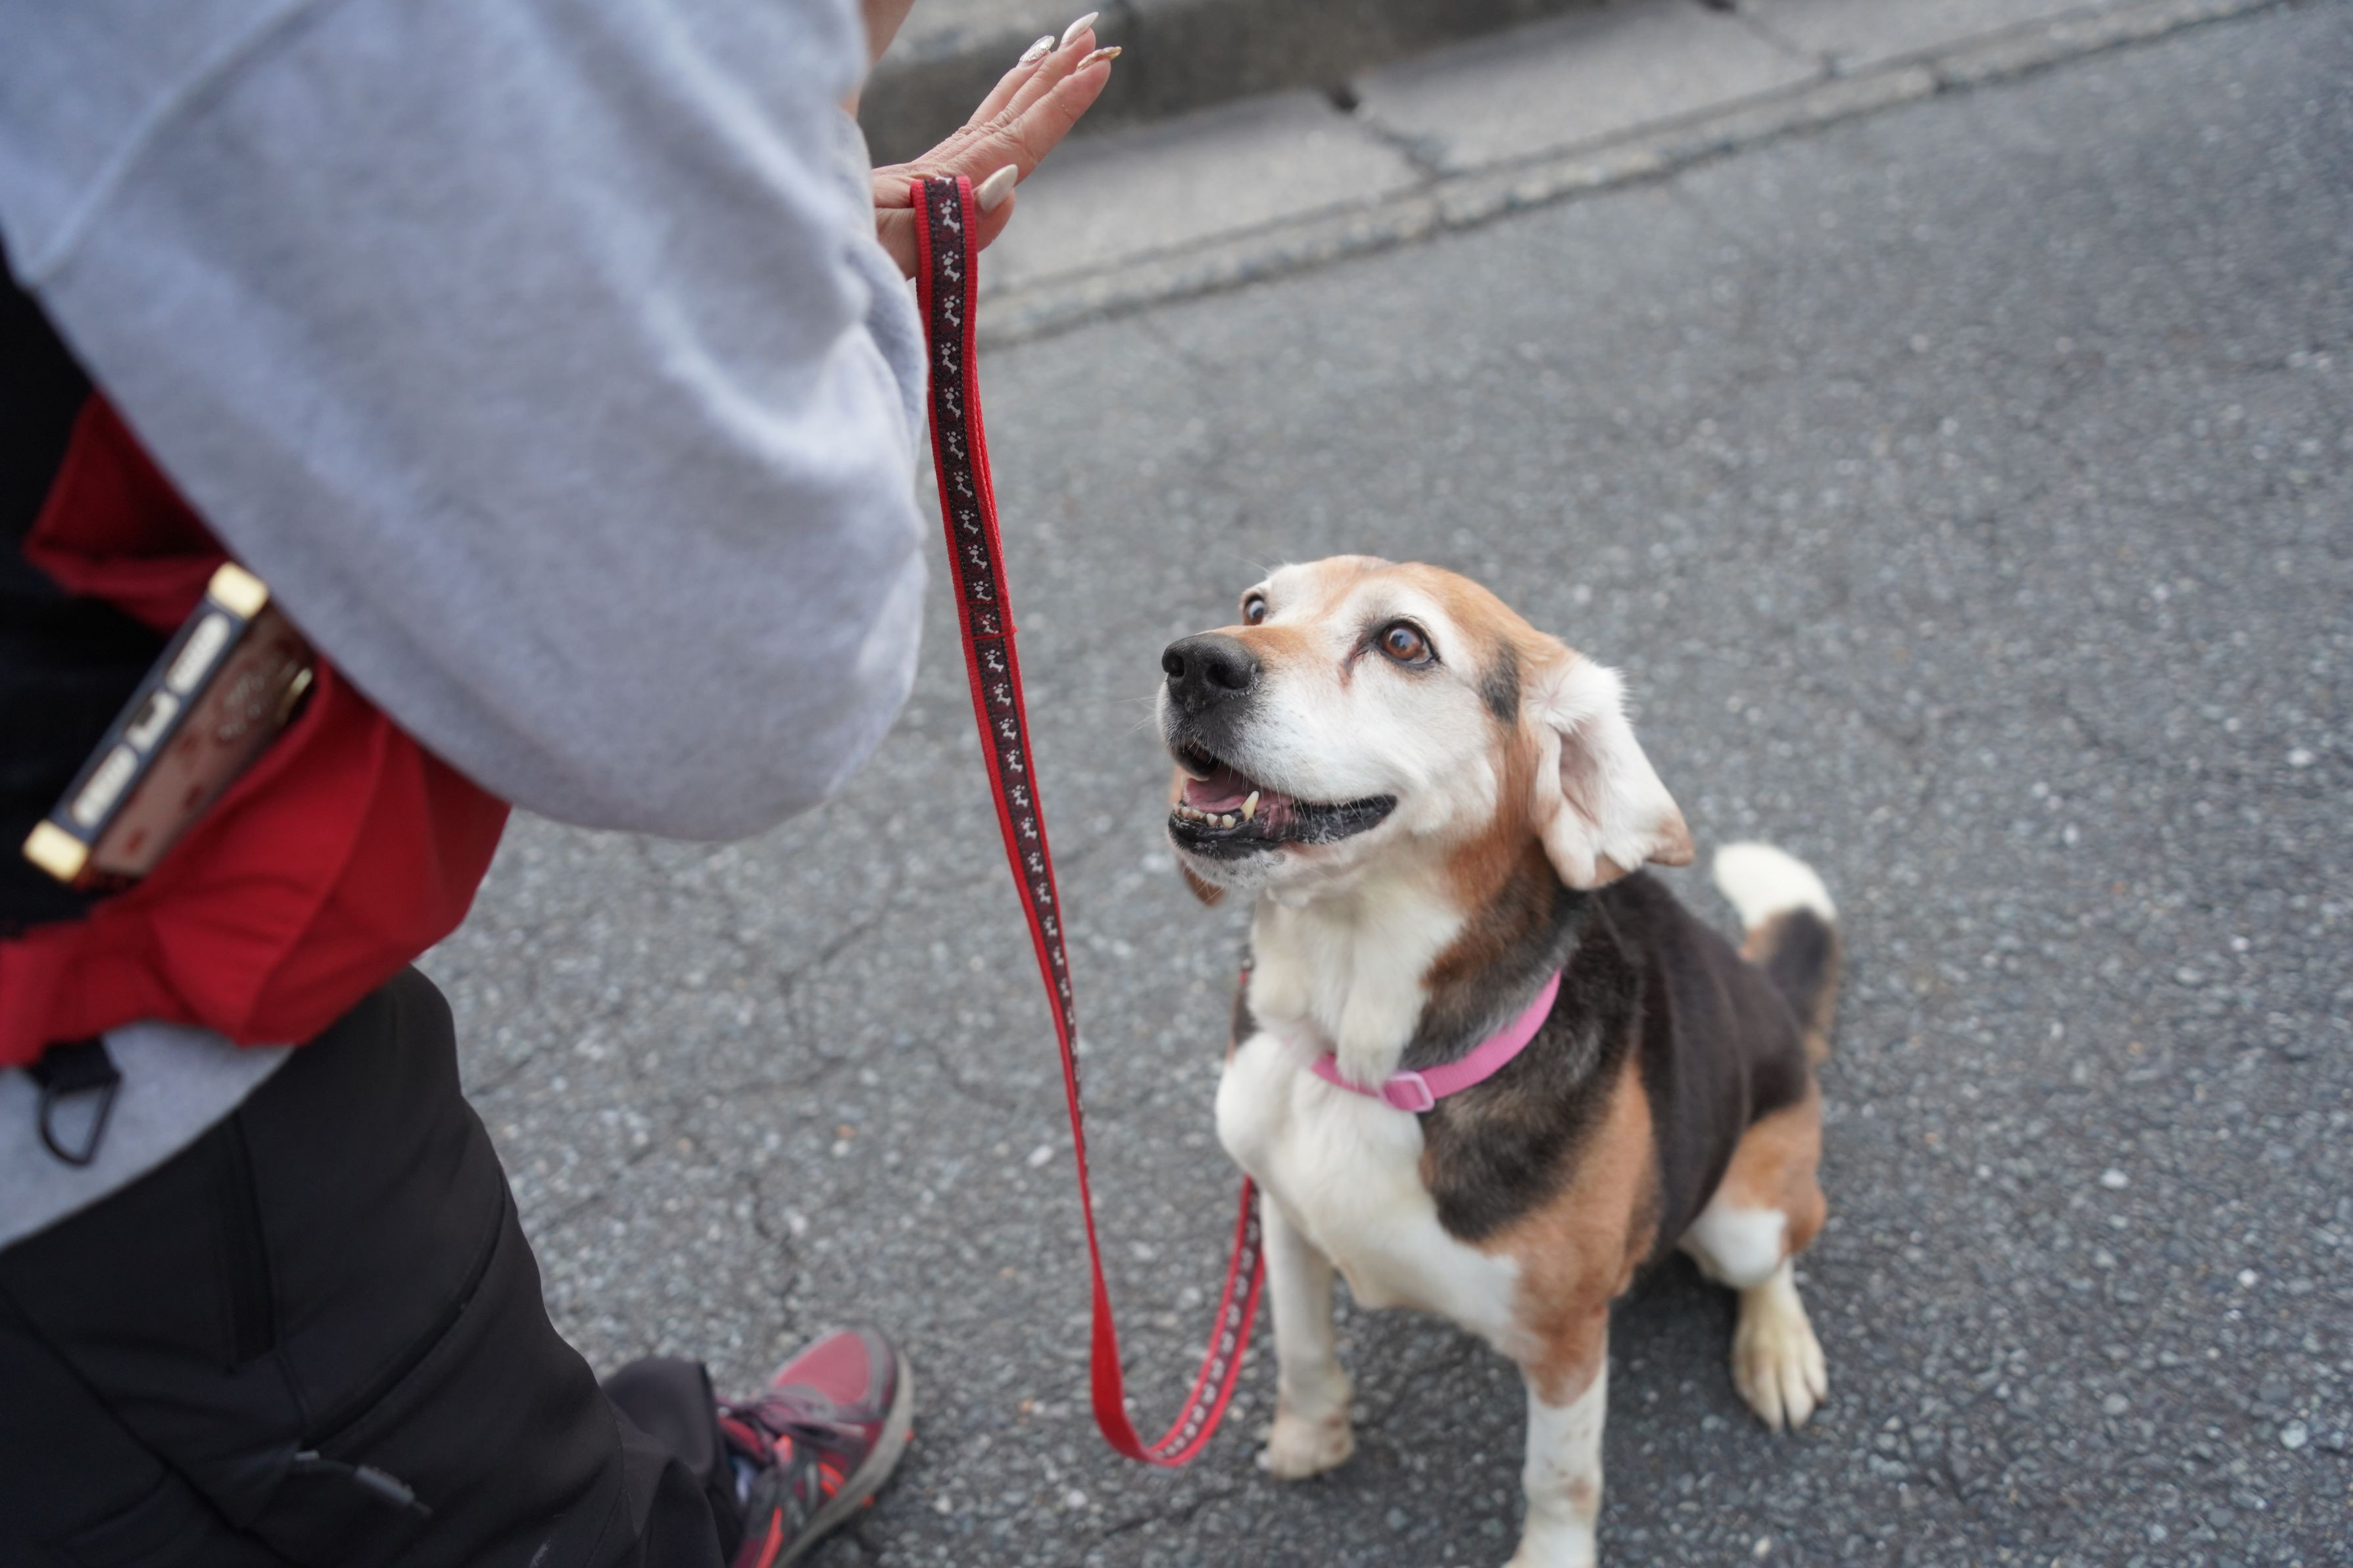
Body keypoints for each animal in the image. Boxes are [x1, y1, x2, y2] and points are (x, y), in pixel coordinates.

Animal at [1155, 557, 1839, 1566]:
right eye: (1254, 606)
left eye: (1403, 643)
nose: (1192, 663)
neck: (1359, 1050)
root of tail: (1771, 1004)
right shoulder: (1279, 1213)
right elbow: (1303, 1347)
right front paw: (1310, 1437)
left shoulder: (1565, 1339)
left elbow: (1558, 1475)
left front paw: (1548, 1556)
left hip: (1742, 1214)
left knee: (1776, 1251)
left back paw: (1776, 1347)